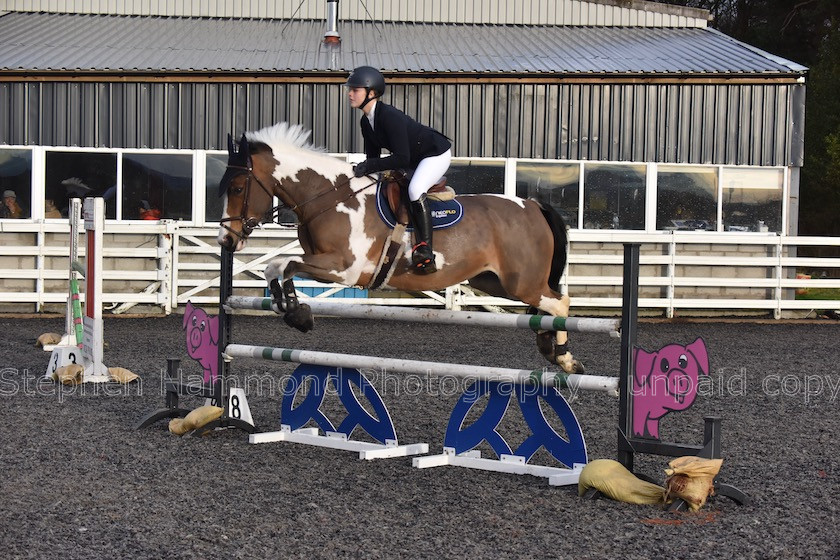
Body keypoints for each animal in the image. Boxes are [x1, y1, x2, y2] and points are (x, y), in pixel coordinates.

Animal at [217, 124, 584, 374]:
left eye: (237, 187)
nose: (226, 241)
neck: (329, 197)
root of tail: (533, 205)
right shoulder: (327, 267)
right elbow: (275, 266)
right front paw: (291, 309)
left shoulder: (345, 268)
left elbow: (288, 263)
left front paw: (298, 315)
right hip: (494, 282)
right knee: (546, 304)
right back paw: (547, 346)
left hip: (520, 282)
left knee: (560, 302)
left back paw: (566, 359)